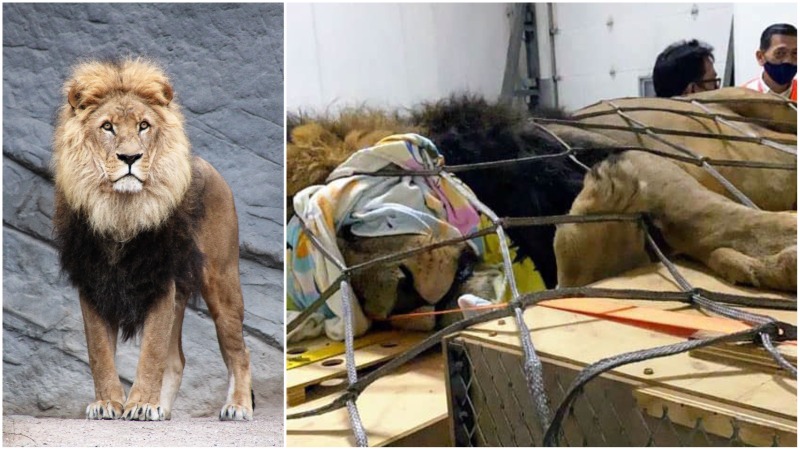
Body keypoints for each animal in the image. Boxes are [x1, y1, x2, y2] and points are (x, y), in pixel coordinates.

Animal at [52, 59, 253, 422]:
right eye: (107, 127)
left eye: (144, 126)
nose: (130, 157)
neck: (120, 210)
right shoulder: (92, 282)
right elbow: (99, 353)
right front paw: (108, 403)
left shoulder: (160, 280)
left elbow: (151, 353)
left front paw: (142, 403)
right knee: (177, 360)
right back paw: (164, 408)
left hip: (222, 280)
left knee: (239, 352)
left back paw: (237, 406)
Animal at [290, 89, 796, 336]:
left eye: (352, 222)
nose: (399, 299)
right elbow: (573, 267)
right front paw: (606, 227)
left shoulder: (610, 154)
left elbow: (713, 218)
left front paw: (780, 249)